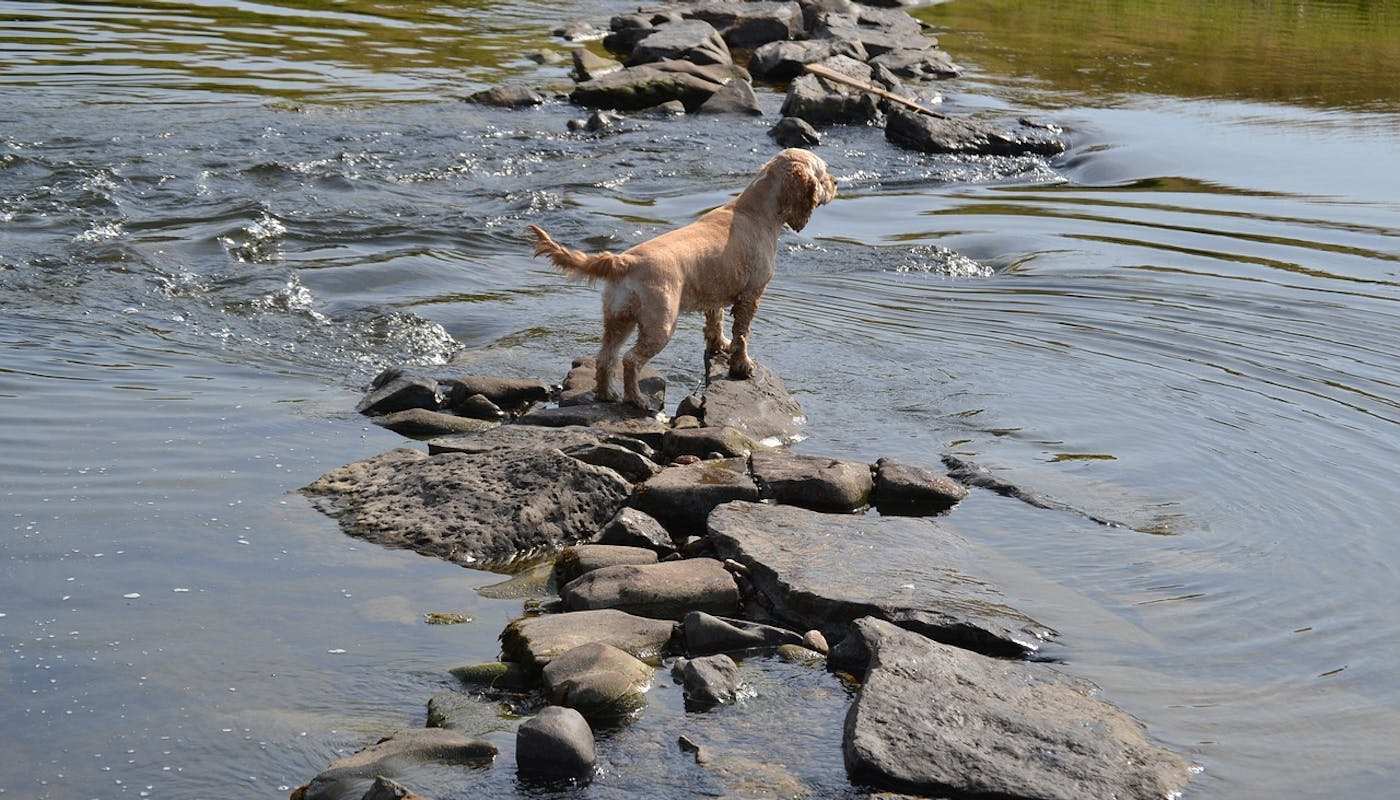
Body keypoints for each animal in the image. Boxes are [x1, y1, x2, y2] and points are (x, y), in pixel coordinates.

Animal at [523, 147, 828, 409]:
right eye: (823, 173)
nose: (835, 182)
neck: (756, 211)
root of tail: (624, 261)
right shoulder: (752, 294)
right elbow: (742, 334)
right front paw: (742, 366)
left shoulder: (714, 294)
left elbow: (715, 324)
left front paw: (719, 347)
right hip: (661, 325)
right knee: (630, 360)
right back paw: (637, 400)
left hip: (618, 319)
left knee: (605, 357)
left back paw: (606, 394)